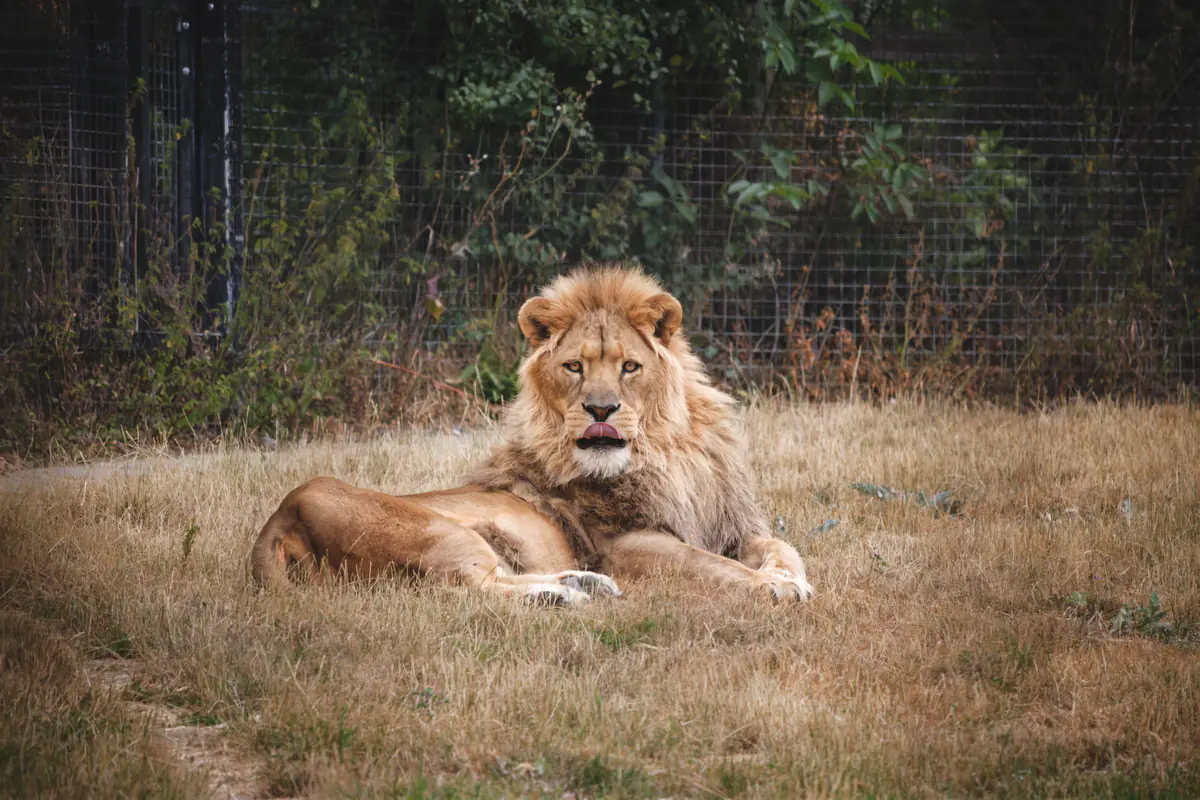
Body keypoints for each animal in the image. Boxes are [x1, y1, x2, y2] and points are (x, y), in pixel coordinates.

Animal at [250, 265, 813, 605]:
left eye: (629, 367)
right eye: (574, 367)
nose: (601, 408)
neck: (666, 454)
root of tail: (281, 517)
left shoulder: (729, 526)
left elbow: (783, 546)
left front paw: (791, 576)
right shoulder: (627, 545)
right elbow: (711, 566)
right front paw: (775, 586)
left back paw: (579, 584)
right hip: (441, 534)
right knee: (460, 589)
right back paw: (560, 595)